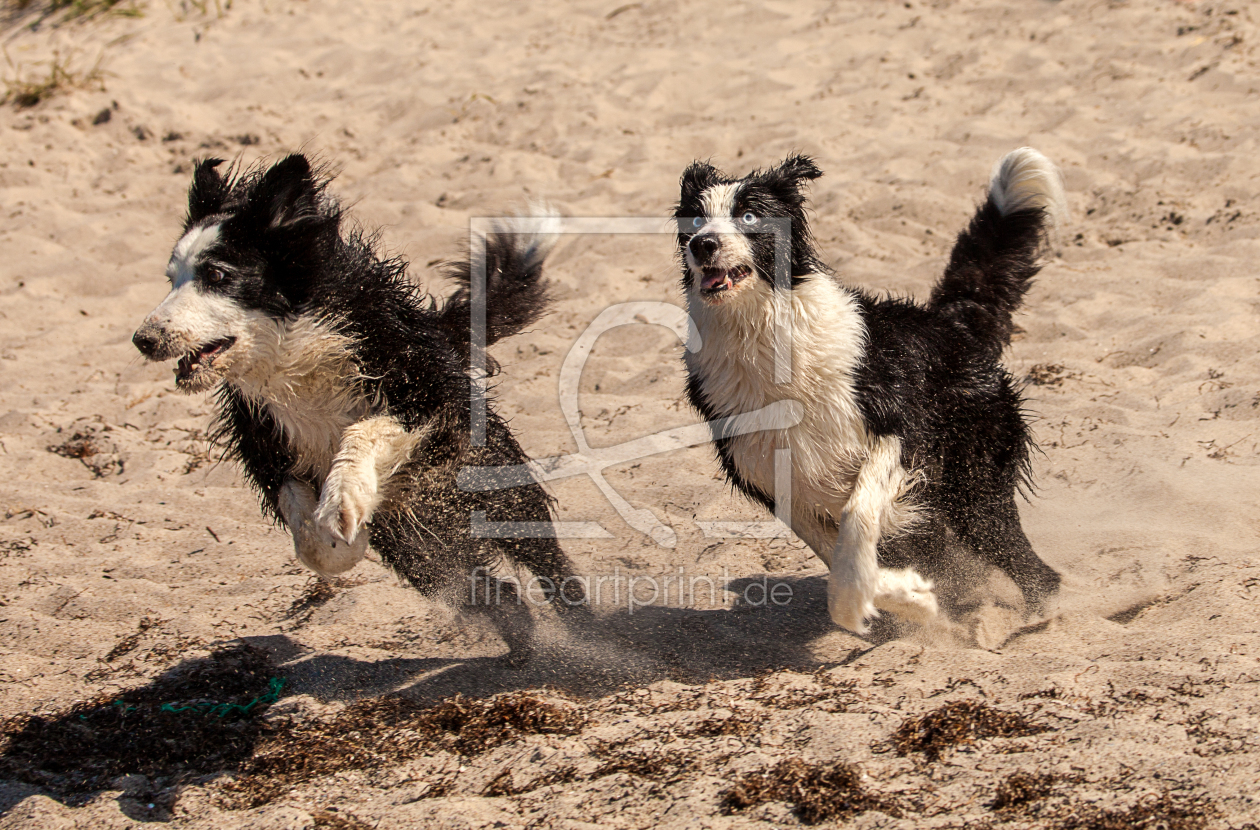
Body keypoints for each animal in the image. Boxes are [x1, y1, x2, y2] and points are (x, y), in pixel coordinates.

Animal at [135, 152, 587, 665]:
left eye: (216, 275)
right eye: (171, 279)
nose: (143, 340)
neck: (296, 351)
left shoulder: (425, 404)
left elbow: (364, 431)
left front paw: (343, 501)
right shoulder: (267, 440)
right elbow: (304, 524)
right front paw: (337, 541)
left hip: (492, 486)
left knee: (549, 565)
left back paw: (595, 638)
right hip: (417, 544)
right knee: (486, 589)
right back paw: (520, 648)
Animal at [675, 149, 1068, 632]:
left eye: (749, 214)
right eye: (695, 219)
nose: (703, 245)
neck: (760, 335)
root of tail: (949, 324)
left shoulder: (897, 430)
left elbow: (857, 516)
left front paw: (876, 599)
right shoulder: (773, 478)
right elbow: (841, 559)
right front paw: (911, 600)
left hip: (973, 485)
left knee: (1029, 565)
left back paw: (1037, 620)